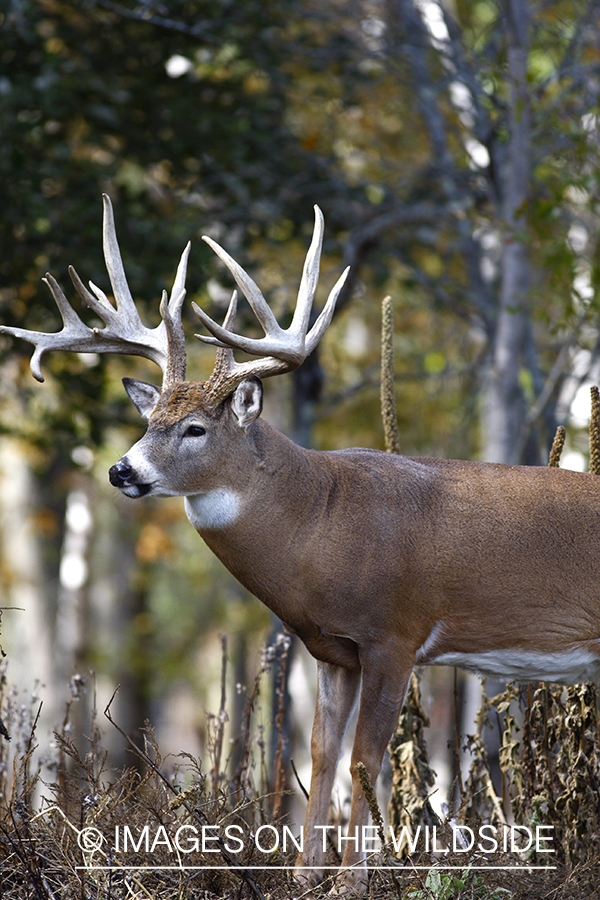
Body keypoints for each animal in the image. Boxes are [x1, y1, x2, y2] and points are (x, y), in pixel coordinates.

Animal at [3, 193, 600, 888]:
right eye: (148, 420)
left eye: (196, 428)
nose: (121, 470)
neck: (322, 521)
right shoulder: (331, 647)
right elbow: (321, 750)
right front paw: (304, 874)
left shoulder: (396, 632)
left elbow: (367, 757)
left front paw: (352, 880)